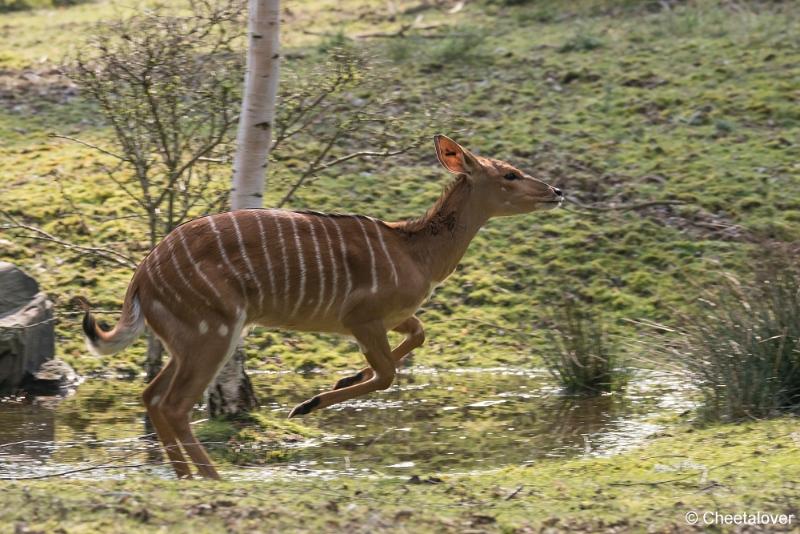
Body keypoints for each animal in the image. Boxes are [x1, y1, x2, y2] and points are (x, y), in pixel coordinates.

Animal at [76, 136, 564, 480]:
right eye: (511, 174)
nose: (556, 191)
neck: (416, 253)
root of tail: (142, 276)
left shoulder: (387, 318)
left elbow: (417, 336)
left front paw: (342, 378)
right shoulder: (360, 318)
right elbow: (387, 375)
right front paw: (306, 405)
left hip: (187, 339)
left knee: (152, 395)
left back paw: (186, 478)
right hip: (212, 331)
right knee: (175, 403)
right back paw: (212, 479)